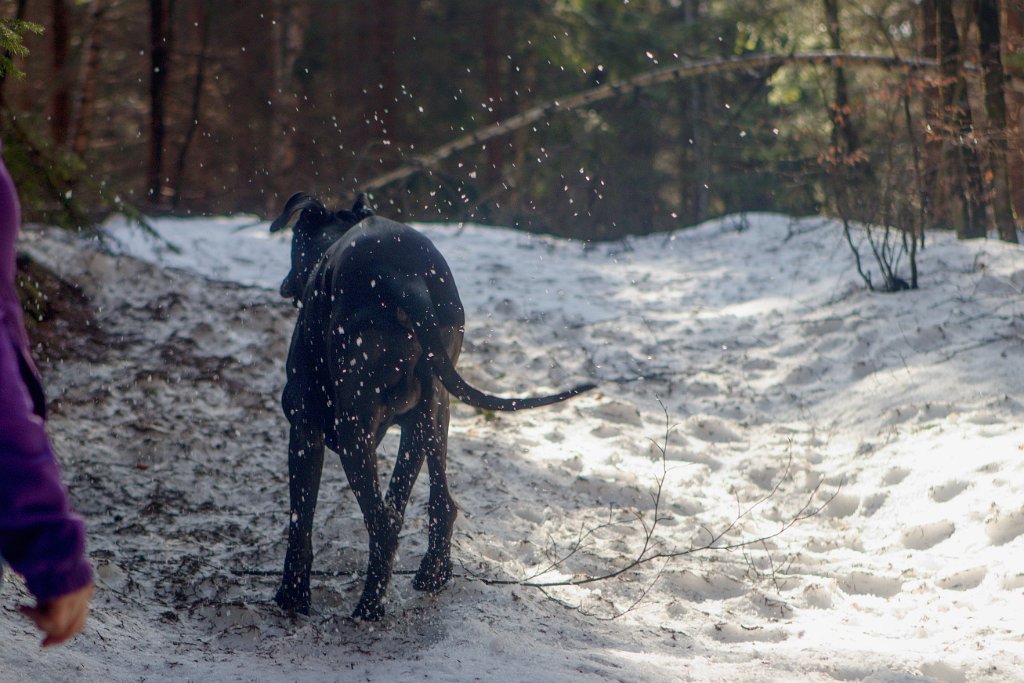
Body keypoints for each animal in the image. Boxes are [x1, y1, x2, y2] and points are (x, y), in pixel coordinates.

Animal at [268, 191, 598, 618]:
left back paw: (369, 610)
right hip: (434, 410)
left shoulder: (304, 426)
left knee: (383, 523)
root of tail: (406, 282)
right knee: (437, 504)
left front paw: (293, 598)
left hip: (354, 427)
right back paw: (431, 574)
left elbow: (300, 521)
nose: (286, 283)